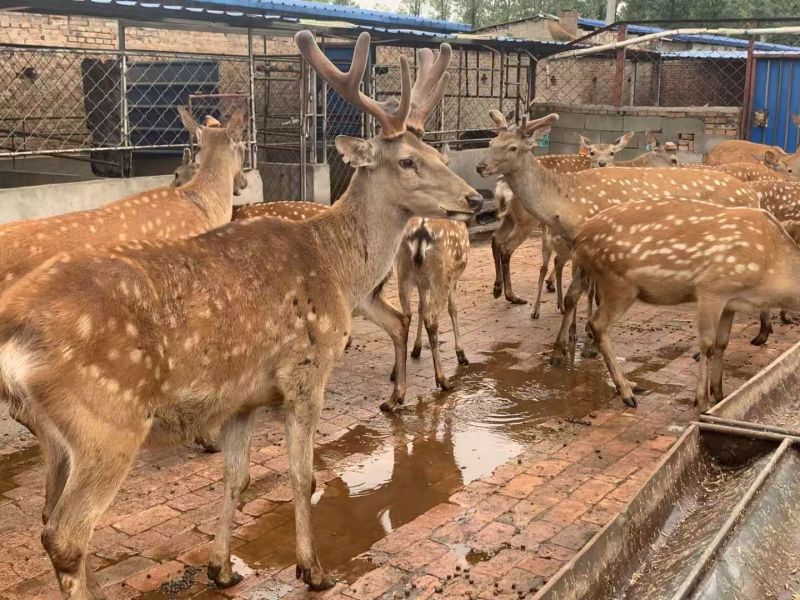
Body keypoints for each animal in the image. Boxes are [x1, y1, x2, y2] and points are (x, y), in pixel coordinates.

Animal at [0, 31, 482, 597]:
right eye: (407, 161)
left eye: (434, 151)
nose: (474, 198)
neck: (335, 263)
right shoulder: (304, 373)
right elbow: (302, 475)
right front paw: (312, 569)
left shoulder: (243, 396)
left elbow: (238, 477)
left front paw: (222, 567)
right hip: (107, 420)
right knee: (67, 534)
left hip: (53, 435)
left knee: (48, 518)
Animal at [475, 109, 760, 365]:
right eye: (490, 142)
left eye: (512, 147)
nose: (480, 165)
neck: (567, 204)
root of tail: (753, 195)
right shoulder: (579, 249)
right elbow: (571, 297)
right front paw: (558, 352)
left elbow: (594, 297)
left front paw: (588, 347)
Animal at [572, 198, 800, 410]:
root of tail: (577, 238)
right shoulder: (711, 287)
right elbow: (707, 345)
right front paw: (702, 402)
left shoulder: (731, 302)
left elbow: (722, 343)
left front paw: (719, 394)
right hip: (618, 283)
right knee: (597, 324)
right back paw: (627, 394)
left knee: (593, 323)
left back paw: (631, 385)